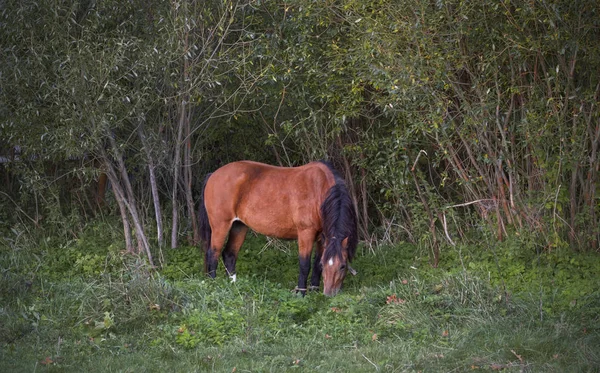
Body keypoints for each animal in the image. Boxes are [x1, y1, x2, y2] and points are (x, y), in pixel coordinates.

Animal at [198, 159, 356, 294]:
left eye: (343, 265)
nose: (329, 294)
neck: (318, 191)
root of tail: (213, 175)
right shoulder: (306, 233)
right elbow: (305, 264)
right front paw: (301, 293)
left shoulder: (322, 237)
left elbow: (316, 263)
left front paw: (314, 291)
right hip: (221, 225)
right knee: (213, 253)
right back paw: (214, 285)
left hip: (239, 226)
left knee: (229, 254)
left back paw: (233, 286)